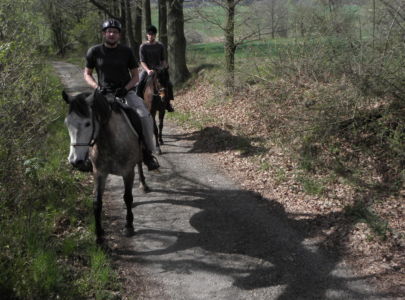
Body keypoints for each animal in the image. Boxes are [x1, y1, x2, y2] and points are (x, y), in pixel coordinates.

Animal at [60, 90, 148, 243]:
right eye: (67, 123)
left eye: (88, 123)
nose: (75, 161)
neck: (109, 141)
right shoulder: (99, 173)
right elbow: (97, 202)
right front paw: (99, 234)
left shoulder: (128, 172)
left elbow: (127, 197)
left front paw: (129, 226)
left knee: (140, 164)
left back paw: (143, 184)